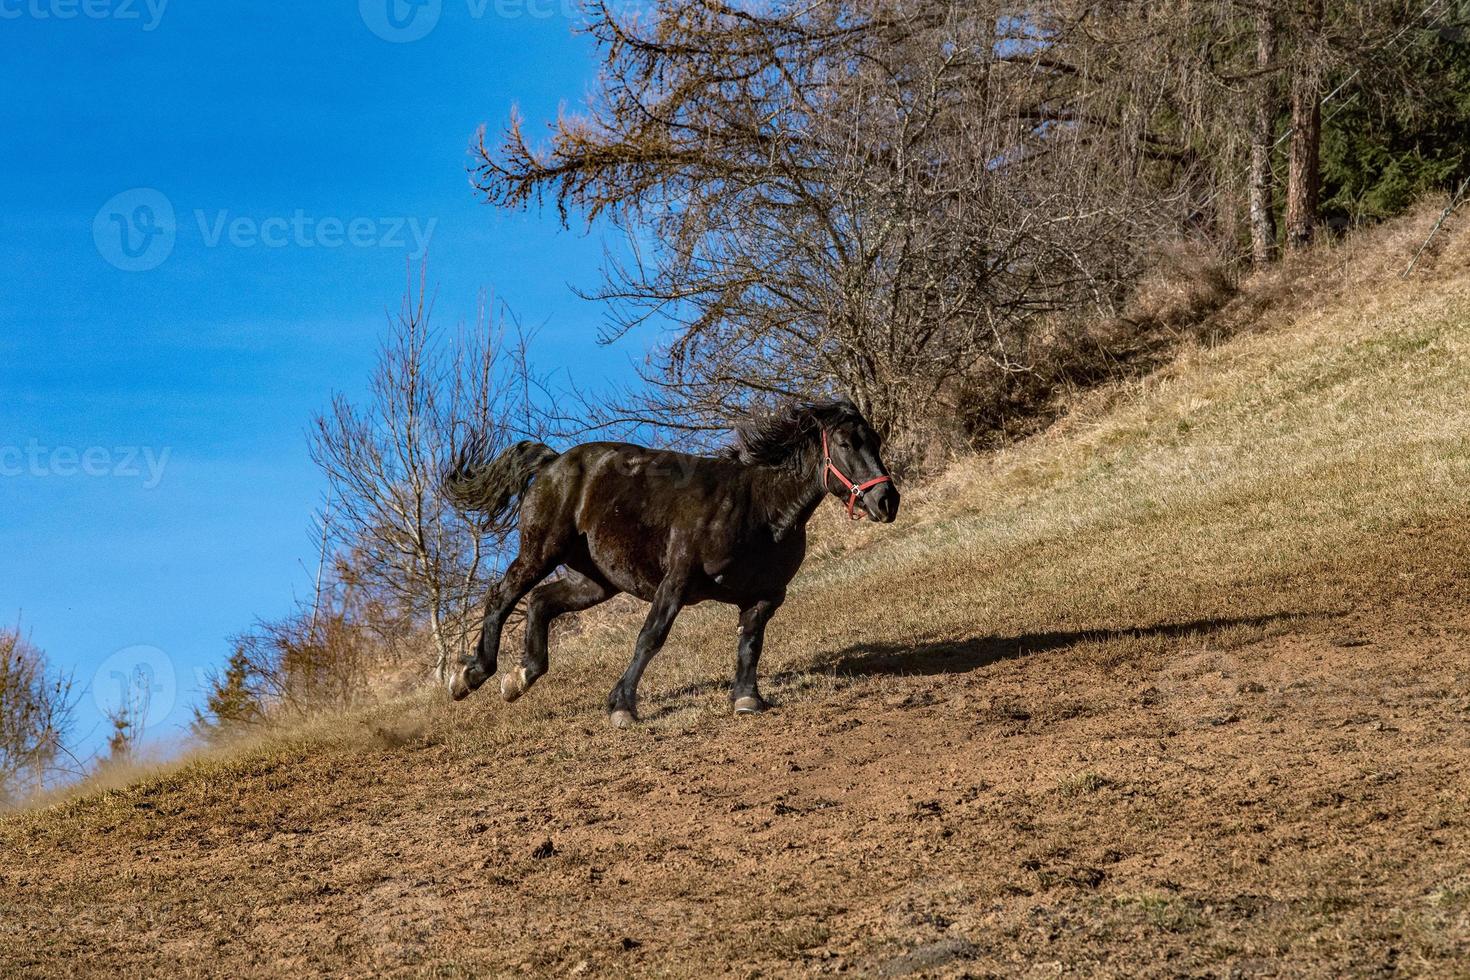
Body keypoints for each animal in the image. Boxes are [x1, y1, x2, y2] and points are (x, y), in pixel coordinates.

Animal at [438, 399, 893, 728]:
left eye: (876, 440)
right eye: (847, 444)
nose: (888, 500)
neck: (758, 508)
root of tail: (553, 462)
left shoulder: (767, 596)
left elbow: (751, 642)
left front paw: (747, 698)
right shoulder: (676, 582)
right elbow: (650, 638)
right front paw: (622, 706)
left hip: (597, 581)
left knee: (541, 602)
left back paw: (520, 677)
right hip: (541, 552)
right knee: (502, 596)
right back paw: (470, 675)